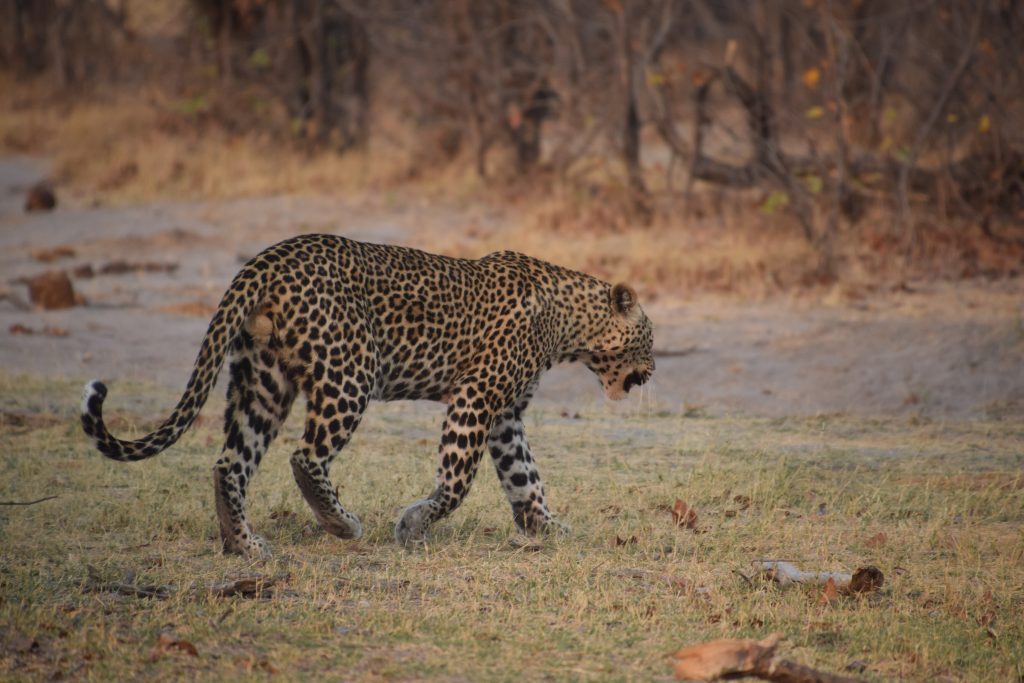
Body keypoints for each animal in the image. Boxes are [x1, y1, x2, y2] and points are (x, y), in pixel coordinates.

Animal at [81, 234, 654, 558]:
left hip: (262, 380)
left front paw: (548, 528)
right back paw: (341, 523)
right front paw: (413, 527)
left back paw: (244, 545)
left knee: (231, 463)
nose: (651, 374)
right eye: (649, 340)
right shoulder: (476, 398)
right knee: (304, 456)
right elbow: (457, 482)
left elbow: (525, 478)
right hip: (350, 373)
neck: (568, 326)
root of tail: (265, 259)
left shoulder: (506, 415)